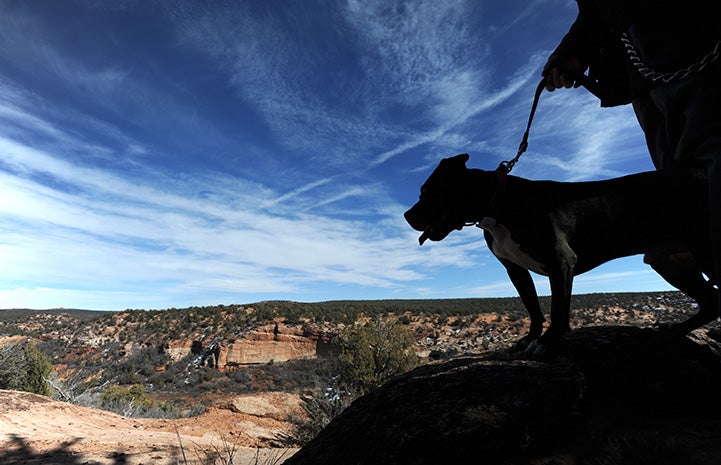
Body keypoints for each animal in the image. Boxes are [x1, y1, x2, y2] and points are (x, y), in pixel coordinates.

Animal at [404, 154, 716, 354]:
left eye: (426, 191)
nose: (406, 215)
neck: (498, 203)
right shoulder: (515, 270)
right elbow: (532, 306)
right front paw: (530, 337)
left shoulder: (561, 262)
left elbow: (558, 307)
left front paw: (548, 341)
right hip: (670, 263)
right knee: (711, 301)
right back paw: (677, 329)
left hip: (704, 250)